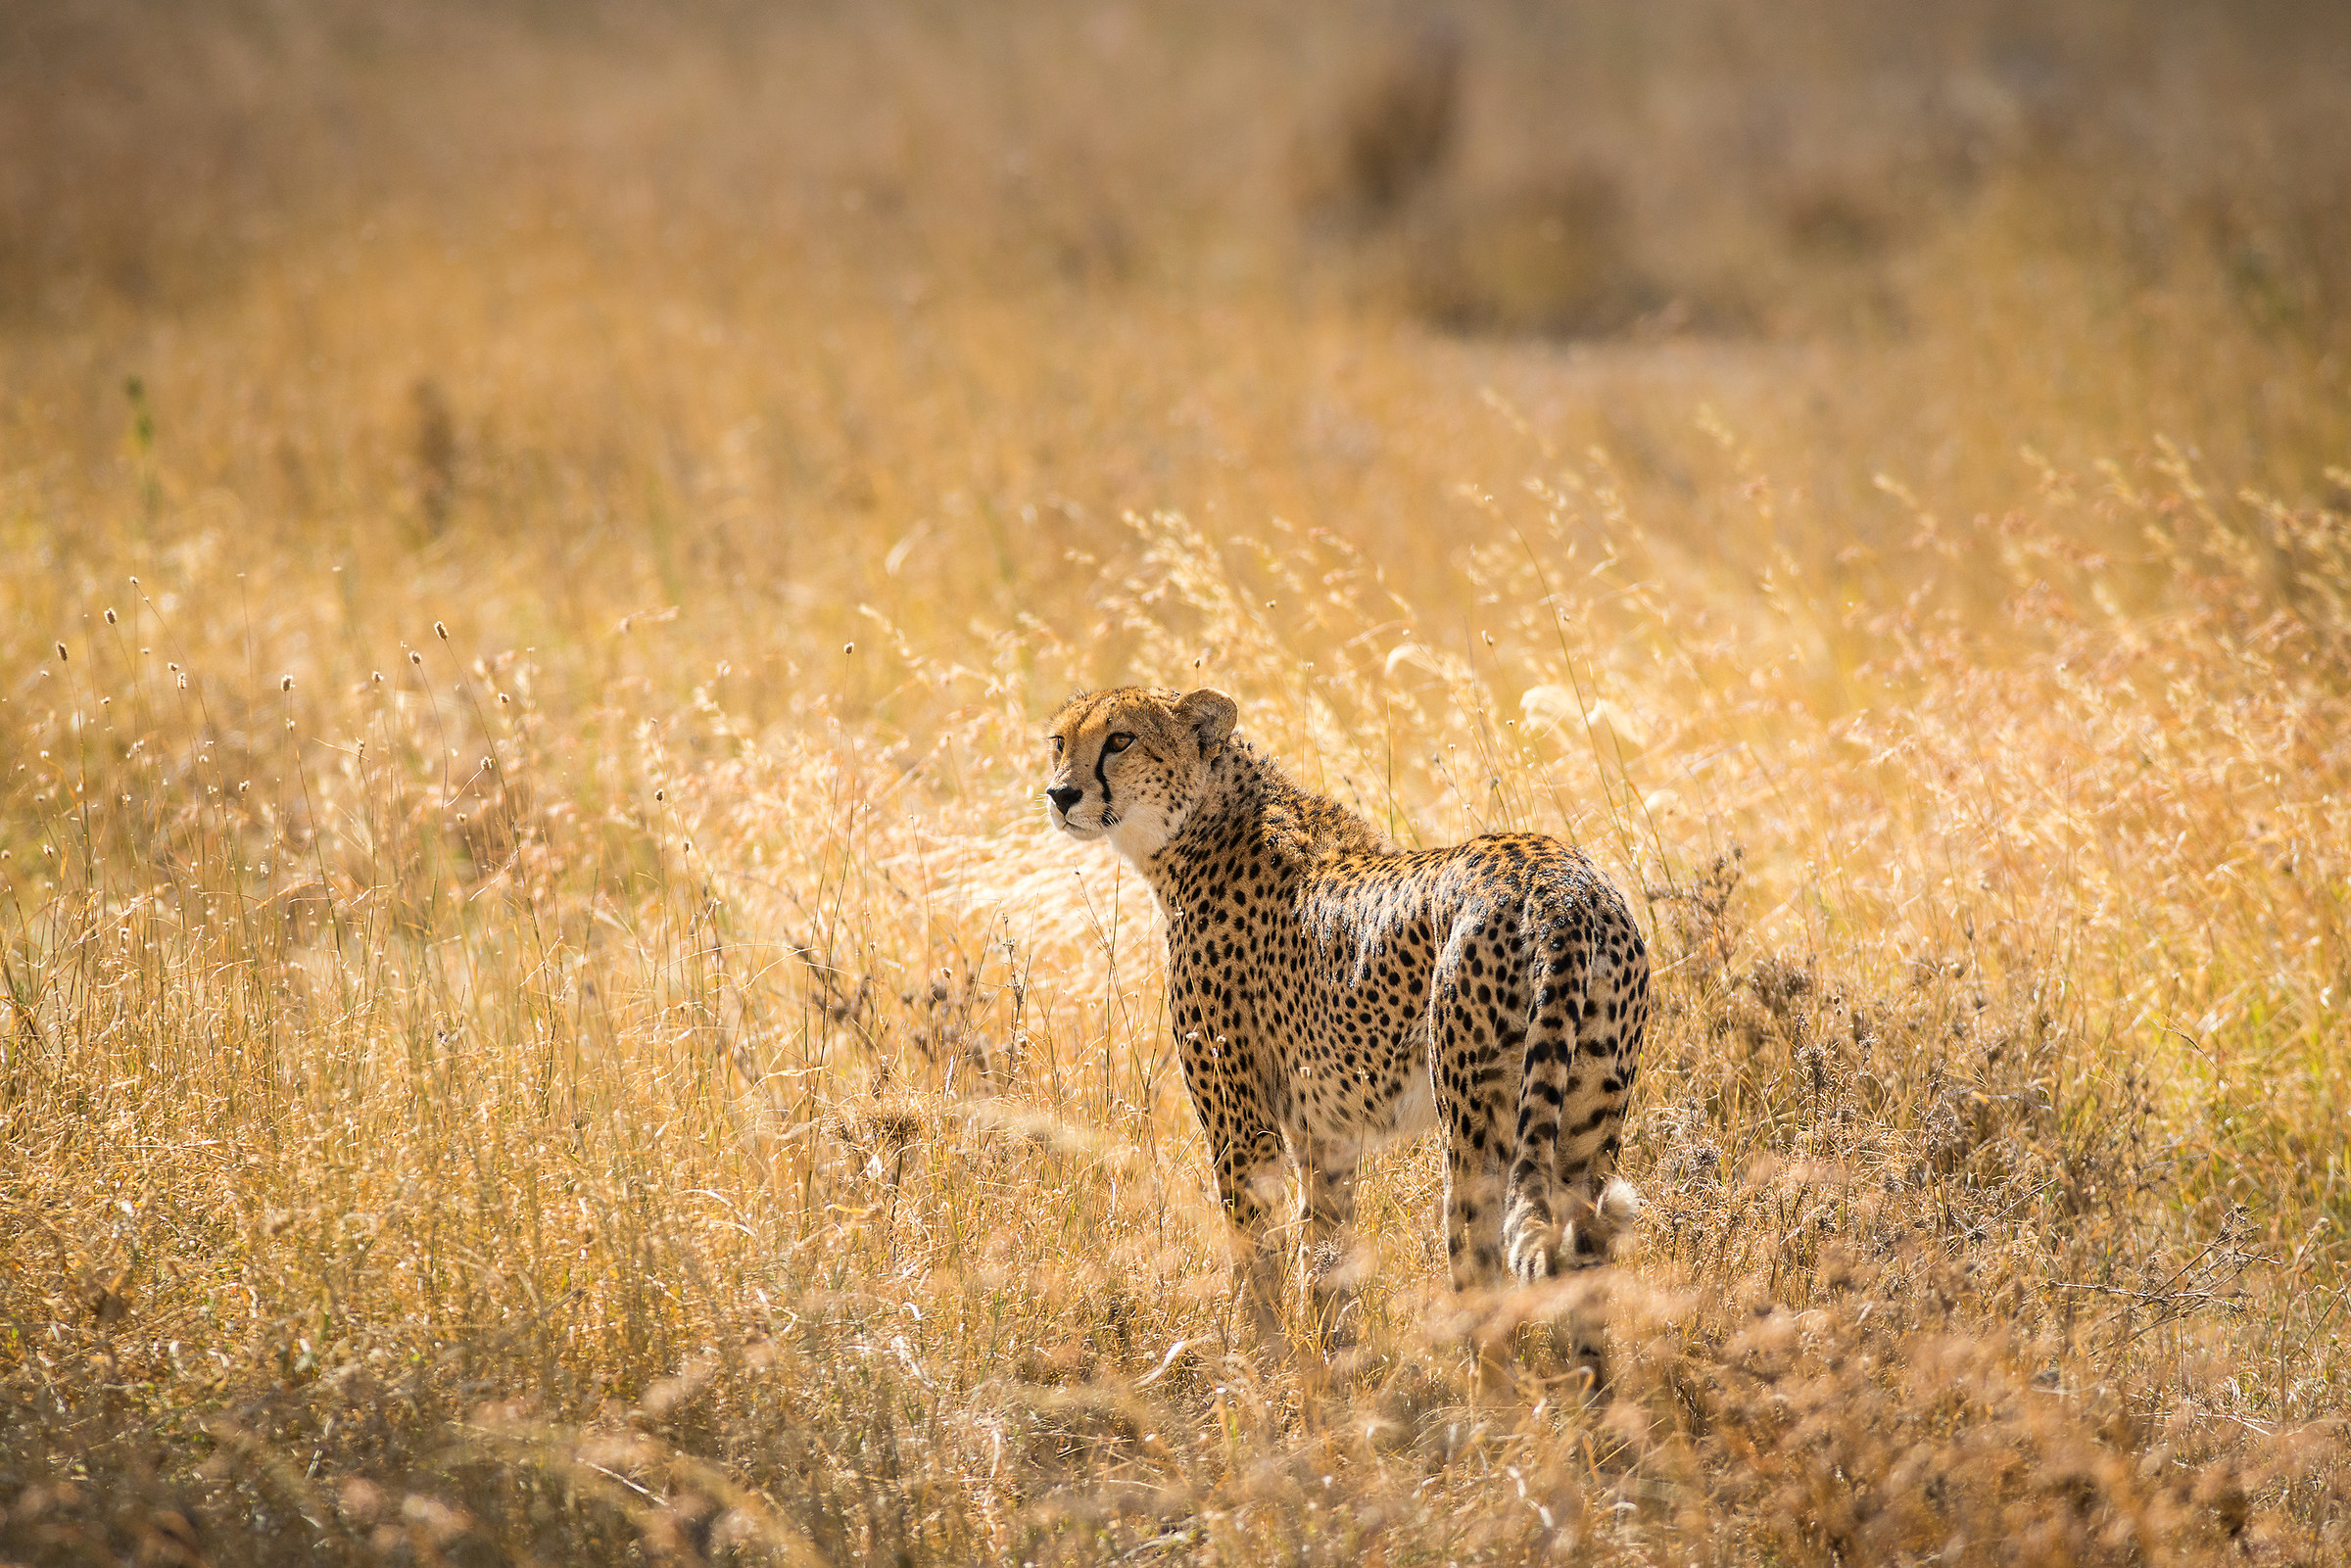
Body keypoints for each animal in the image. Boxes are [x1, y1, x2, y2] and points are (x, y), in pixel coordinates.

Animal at [1045, 684, 1649, 1358]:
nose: (1060, 794)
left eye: (1120, 739)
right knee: (1584, 1275)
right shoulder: (1326, 1134)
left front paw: (1257, 1364)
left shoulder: (1242, 1127)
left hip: (1477, 1131)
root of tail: (1559, 885)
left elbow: (1258, 1263)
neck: (1204, 824)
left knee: (1485, 1286)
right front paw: (1334, 1363)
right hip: (1584, 1129)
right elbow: (1327, 1261)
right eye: (1060, 741)